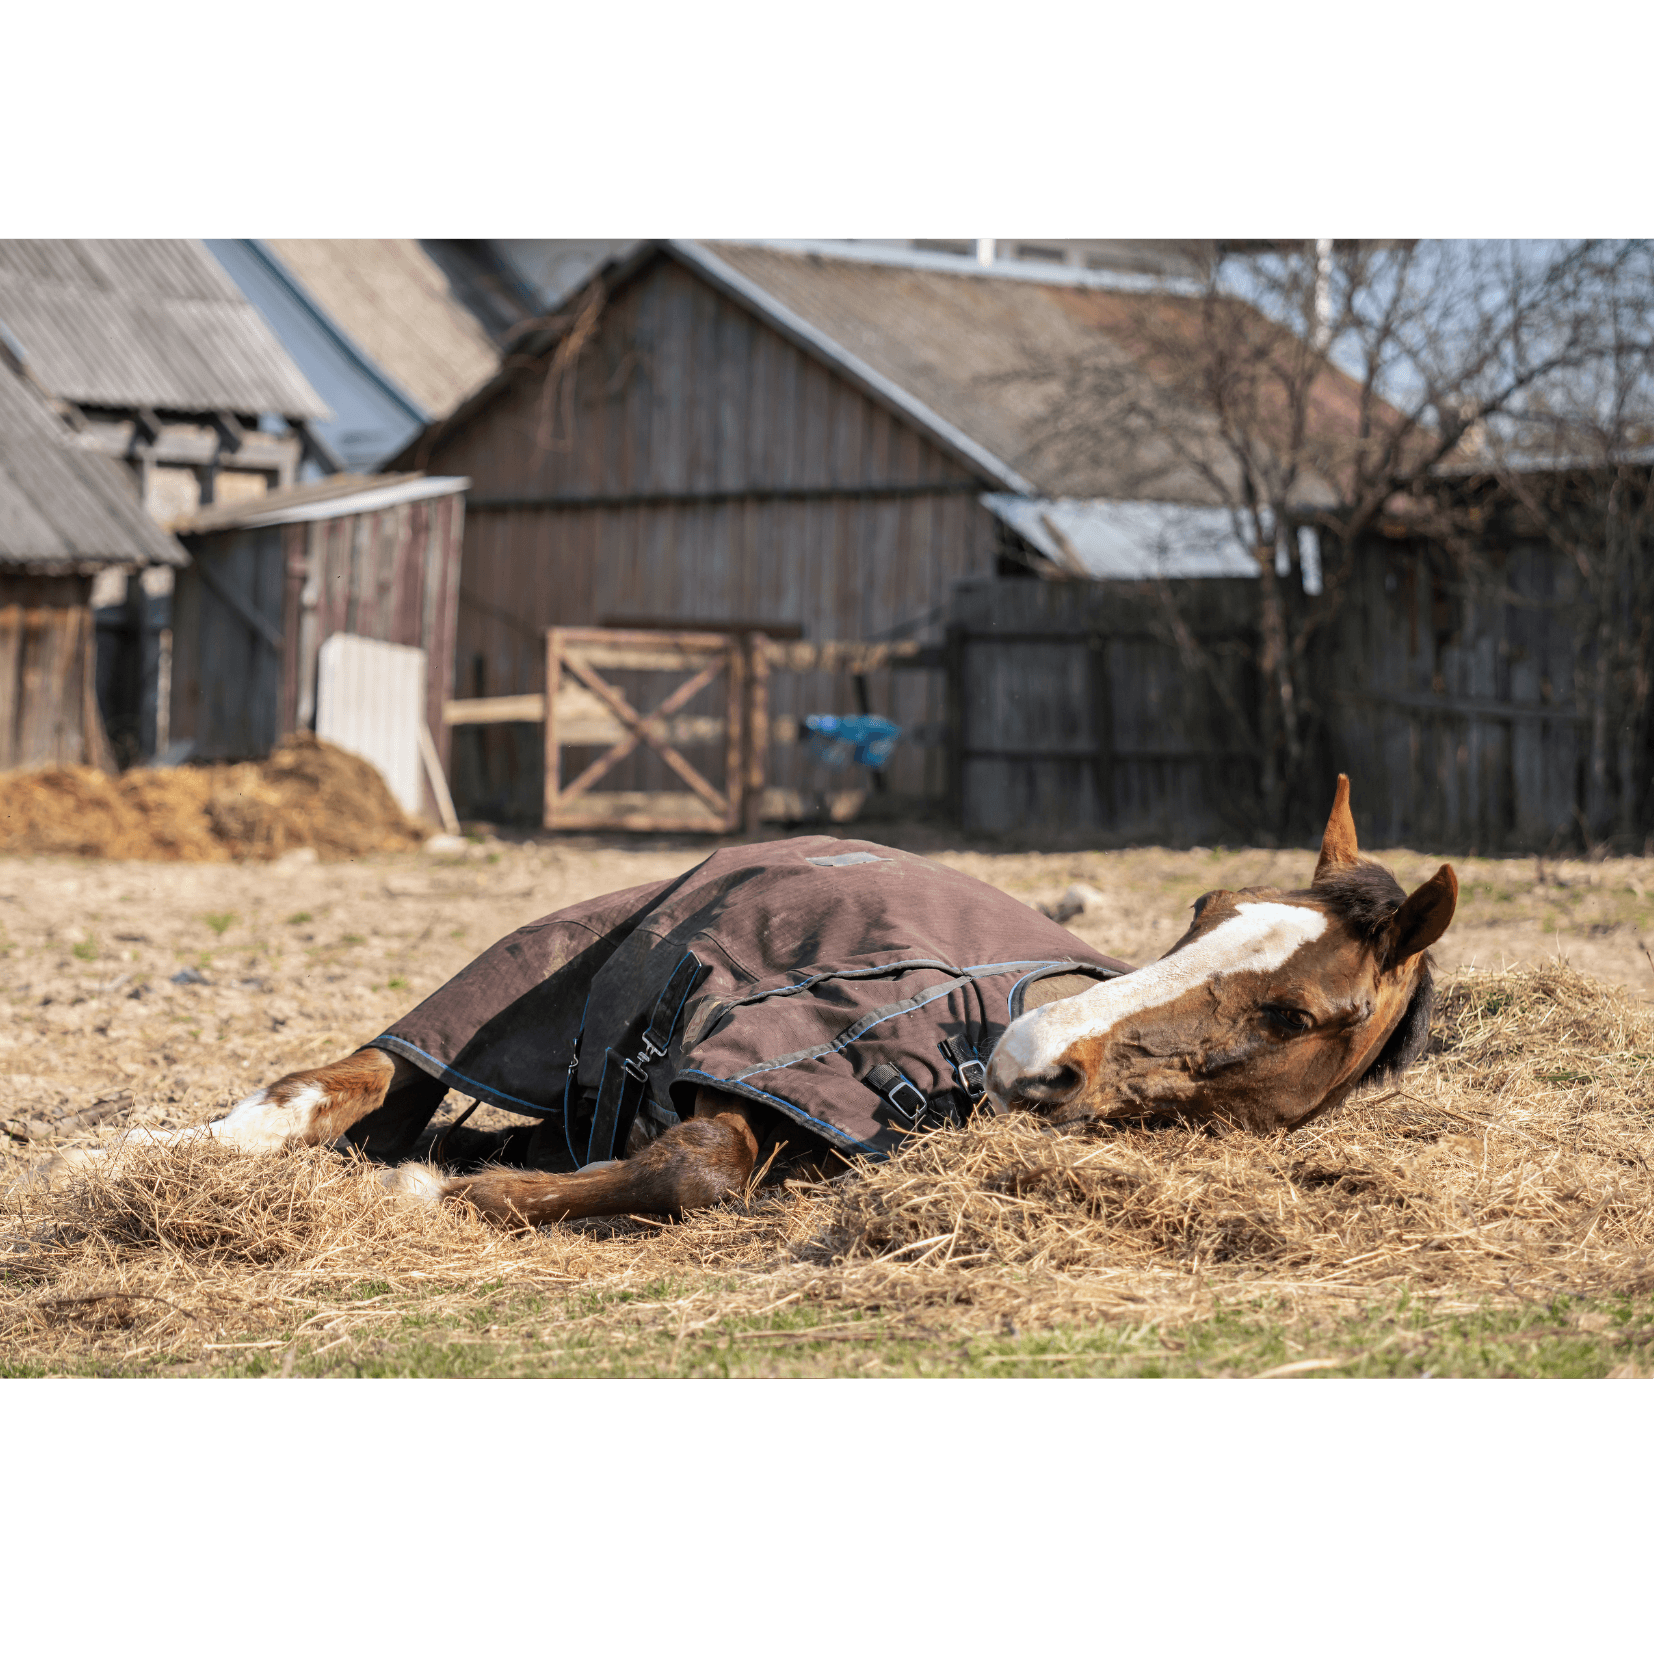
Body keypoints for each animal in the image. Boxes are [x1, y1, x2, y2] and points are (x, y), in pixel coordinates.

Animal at [32, 776, 1455, 1226]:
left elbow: (689, 1164)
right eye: (1203, 908)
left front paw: (453, 1183)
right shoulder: (762, 1066)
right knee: (339, 1083)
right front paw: (443, 1193)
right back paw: (124, 1154)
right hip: (511, 987)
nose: (1029, 1057)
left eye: (1293, 1016)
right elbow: (701, 1164)